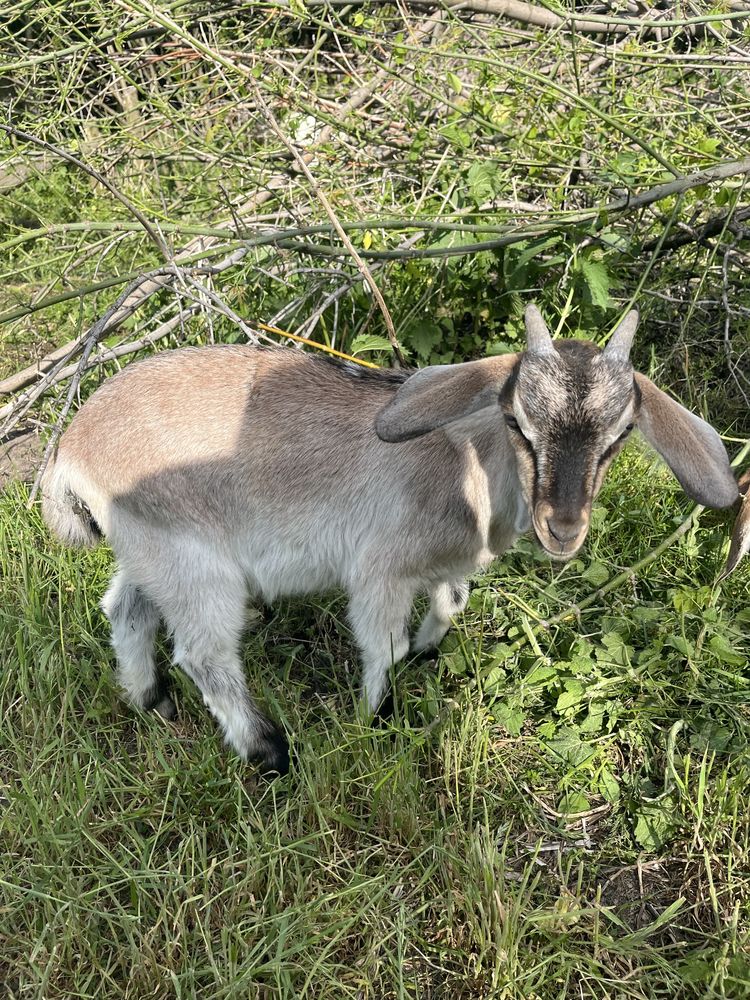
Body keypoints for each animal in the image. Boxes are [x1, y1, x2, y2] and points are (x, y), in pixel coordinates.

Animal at [41, 304, 740, 772]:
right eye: (518, 420)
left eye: (620, 434)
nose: (562, 529)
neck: (466, 464)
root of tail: (72, 451)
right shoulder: (379, 571)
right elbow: (382, 645)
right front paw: (373, 722)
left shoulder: (443, 567)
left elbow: (450, 603)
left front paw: (428, 653)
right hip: (195, 562)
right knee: (204, 655)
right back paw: (269, 751)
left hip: (151, 551)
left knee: (125, 609)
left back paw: (150, 701)